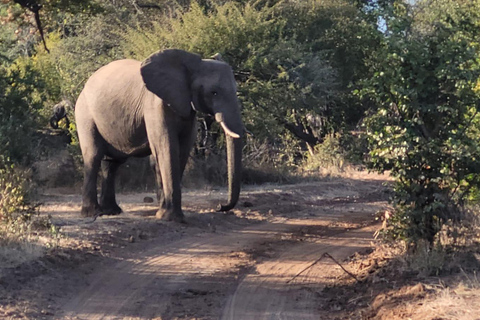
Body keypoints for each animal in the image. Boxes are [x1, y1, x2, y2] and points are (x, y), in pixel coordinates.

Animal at [77, 48, 246, 222]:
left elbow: (182, 149)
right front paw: (170, 218)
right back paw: (93, 213)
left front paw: (163, 212)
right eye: (214, 92)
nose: (220, 206)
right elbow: (167, 147)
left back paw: (111, 211)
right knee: (94, 155)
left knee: (113, 162)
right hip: (85, 113)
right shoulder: (155, 104)